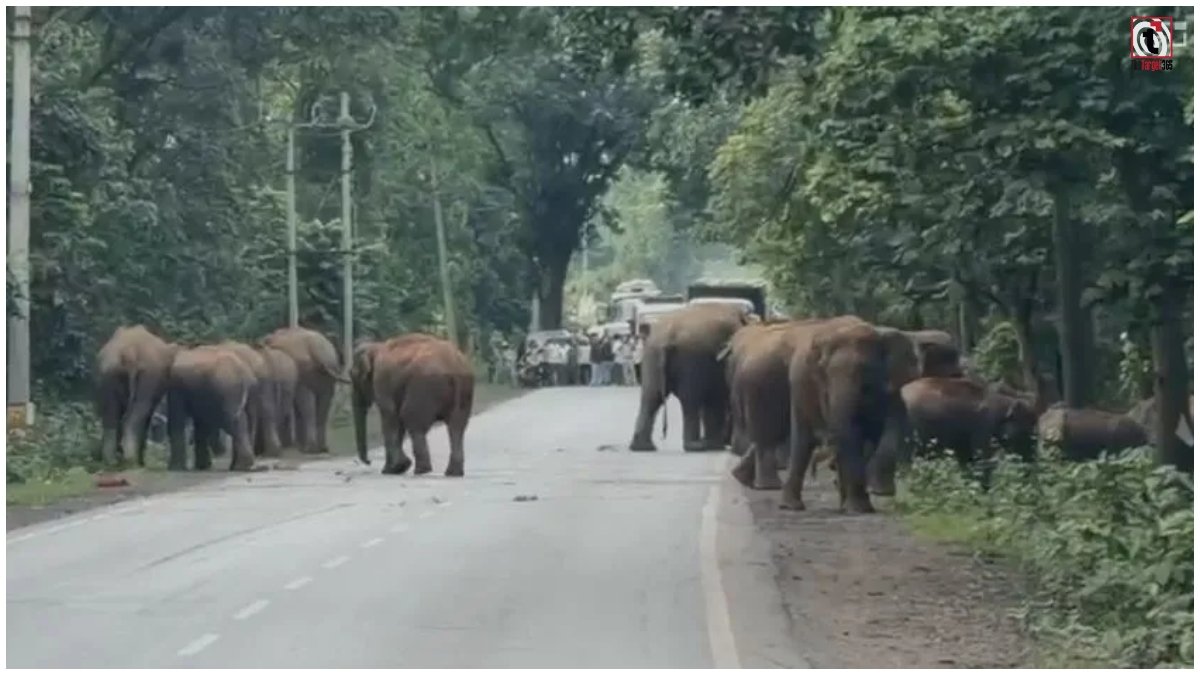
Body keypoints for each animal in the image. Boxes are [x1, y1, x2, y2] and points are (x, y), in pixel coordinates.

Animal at [94, 325, 180, 467]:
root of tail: (129, 352)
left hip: (108, 373)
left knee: (110, 416)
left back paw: (111, 462)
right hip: (147, 375)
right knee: (135, 415)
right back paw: (132, 461)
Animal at [352, 334, 475, 476]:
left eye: (353, 376)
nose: (368, 461)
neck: (375, 346)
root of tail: (454, 365)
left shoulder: (381, 380)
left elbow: (390, 415)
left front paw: (395, 469)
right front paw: (393, 469)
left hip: (423, 387)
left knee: (411, 419)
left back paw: (421, 470)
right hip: (464, 390)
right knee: (456, 427)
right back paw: (453, 473)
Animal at [629, 302, 751, 453]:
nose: (727, 441)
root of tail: (667, 336)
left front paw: (716, 444)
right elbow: (716, 398)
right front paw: (716, 444)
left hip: (652, 355)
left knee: (651, 397)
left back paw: (643, 447)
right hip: (691, 357)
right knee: (691, 399)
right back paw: (697, 446)